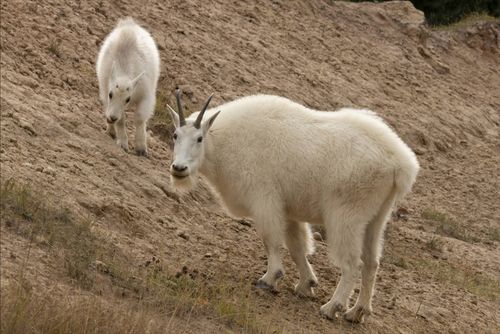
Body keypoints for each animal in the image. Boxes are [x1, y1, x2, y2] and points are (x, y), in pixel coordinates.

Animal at [96, 18, 159, 157]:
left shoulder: (146, 96)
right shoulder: (105, 90)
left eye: (128, 99)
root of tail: (128, 23)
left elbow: (140, 118)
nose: (112, 118)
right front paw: (123, 143)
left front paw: (141, 148)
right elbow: (121, 119)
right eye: (111, 94)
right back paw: (111, 130)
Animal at [168, 90, 418, 322]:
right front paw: (306, 285)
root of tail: (400, 164)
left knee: (351, 264)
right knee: (372, 263)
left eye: (199, 138)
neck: (223, 142)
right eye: (175, 135)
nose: (179, 168)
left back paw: (332, 307)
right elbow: (297, 247)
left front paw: (269, 279)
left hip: (347, 216)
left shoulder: (265, 200)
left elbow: (271, 240)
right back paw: (357, 312)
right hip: (376, 218)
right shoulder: (288, 211)